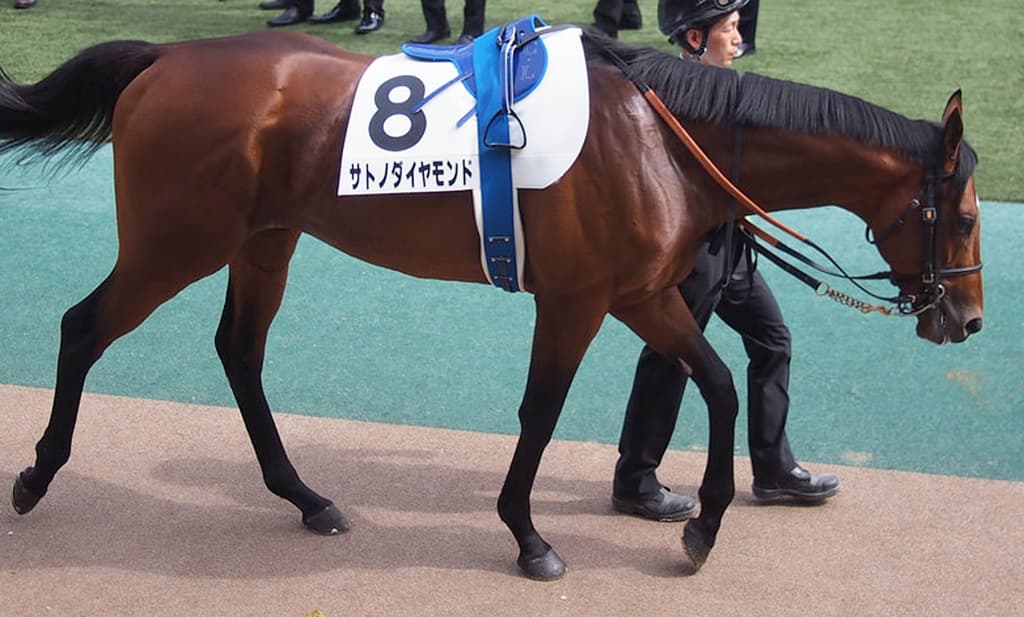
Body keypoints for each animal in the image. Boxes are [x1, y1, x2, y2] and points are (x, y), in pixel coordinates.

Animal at [0, 28, 983, 581]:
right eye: (969, 213)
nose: (967, 319)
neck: (662, 135)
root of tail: (164, 57)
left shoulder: (640, 293)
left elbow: (717, 383)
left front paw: (702, 524)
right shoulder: (579, 298)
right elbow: (541, 412)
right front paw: (527, 535)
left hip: (264, 240)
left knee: (240, 352)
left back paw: (306, 496)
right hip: (177, 242)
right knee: (83, 326)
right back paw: (38, 475)